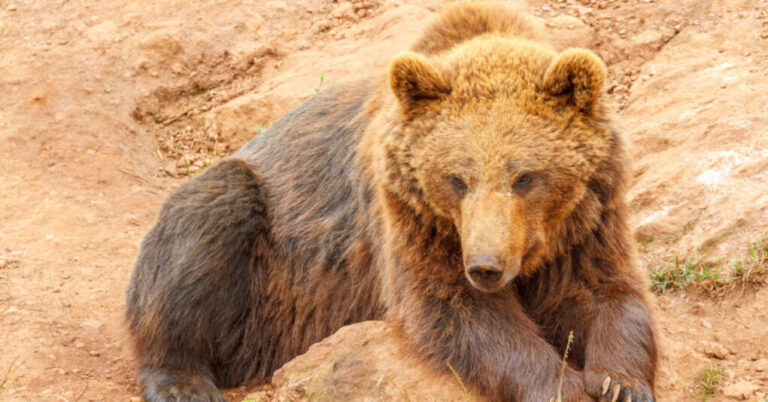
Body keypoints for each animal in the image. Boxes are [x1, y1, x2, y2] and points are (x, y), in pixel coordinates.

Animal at [125, 2, 658, 402]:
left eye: (525, 176)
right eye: (457, 178)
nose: (485, 265)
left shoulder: (590, 215)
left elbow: (606, 291)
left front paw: (619, 383)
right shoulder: (414, 217)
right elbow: (457, 311)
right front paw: (564, 387)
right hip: (265, 266)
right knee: (208, 221)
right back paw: (182, 381)